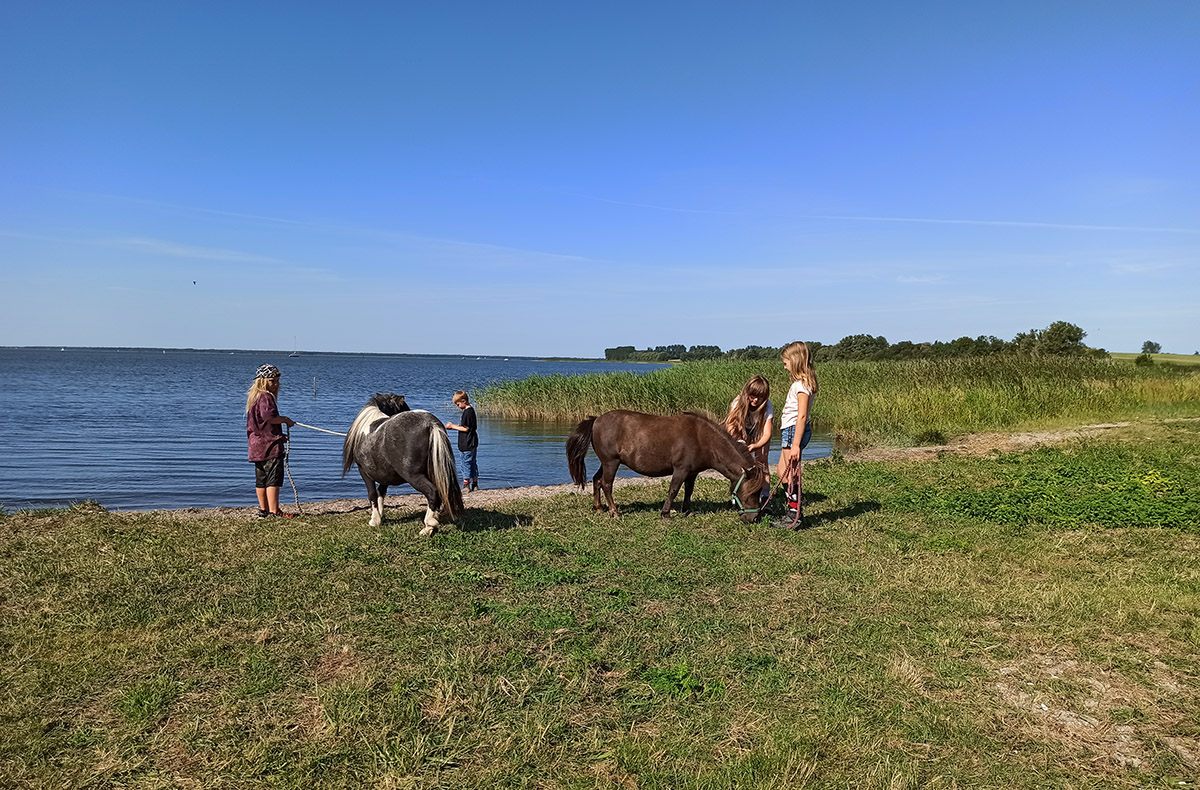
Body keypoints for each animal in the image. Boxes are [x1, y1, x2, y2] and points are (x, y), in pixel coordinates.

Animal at [341, 393, 463, 536]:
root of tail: (429, 423)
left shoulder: (364, 472)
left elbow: (372, 494)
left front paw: (374, 520)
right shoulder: (385, 475)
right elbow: (381, 492)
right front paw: (380, 516)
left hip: (413, 476)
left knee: (432, 492)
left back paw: (428, 526)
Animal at [566, 409, 767, 523]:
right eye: (751, 493)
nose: (753, 518)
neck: (703, 439)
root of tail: (596, 420)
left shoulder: (692, 472)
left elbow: (688, 491)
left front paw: (687, 510)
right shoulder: (681, 469)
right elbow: (673, 490)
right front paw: (666, 513)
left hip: (606, 463)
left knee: (597, 480)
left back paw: (599, 508)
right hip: (611, 462)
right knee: (606, 484)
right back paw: (614, 512)